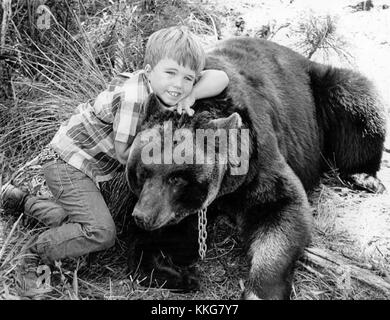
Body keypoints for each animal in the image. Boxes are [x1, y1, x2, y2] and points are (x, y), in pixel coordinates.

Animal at [101, 37, 386, 300]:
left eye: (177, 178)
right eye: (142, 173)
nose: (143, 216)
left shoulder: (256, 159)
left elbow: (282, 208)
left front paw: (258, 290)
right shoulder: (180, 207)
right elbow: (160, 241)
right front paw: (182, 275)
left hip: (323, 91)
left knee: (358, 101)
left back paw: (365, 177)